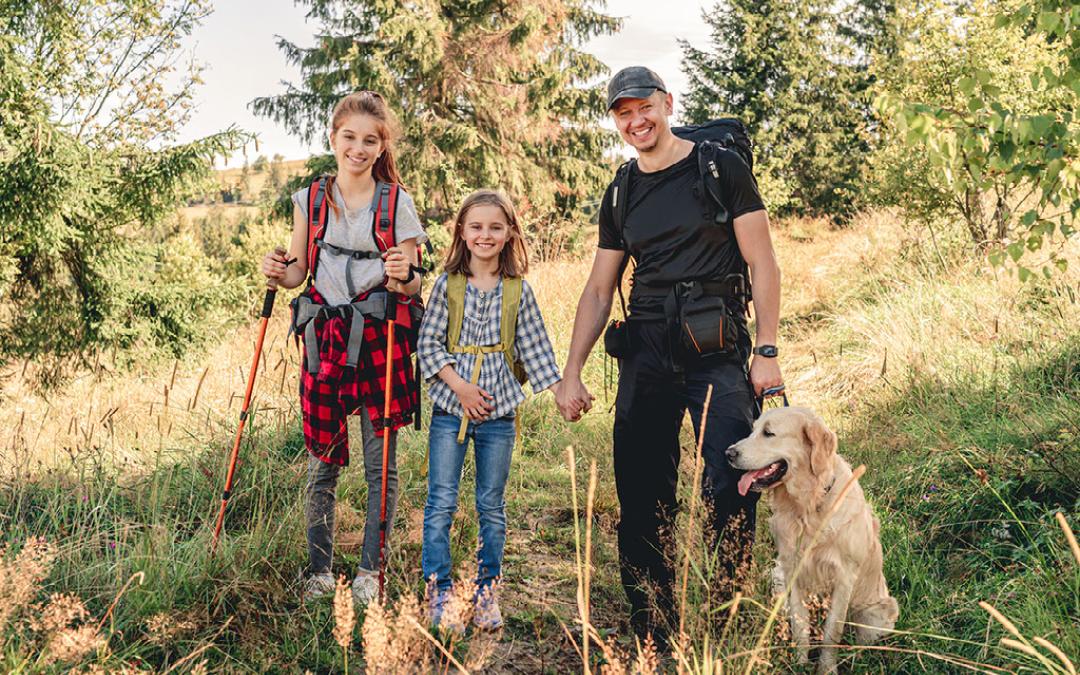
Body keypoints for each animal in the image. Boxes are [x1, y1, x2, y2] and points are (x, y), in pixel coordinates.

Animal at [725, 401, 902, 669]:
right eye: (752, 430)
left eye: (769, 433)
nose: (729, 453)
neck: (808, 506)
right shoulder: (793, 572)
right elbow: (801, 628)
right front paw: (799, 665)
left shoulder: (843, 578)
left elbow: (831, 634)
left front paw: (826, 668)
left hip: (877, 616)